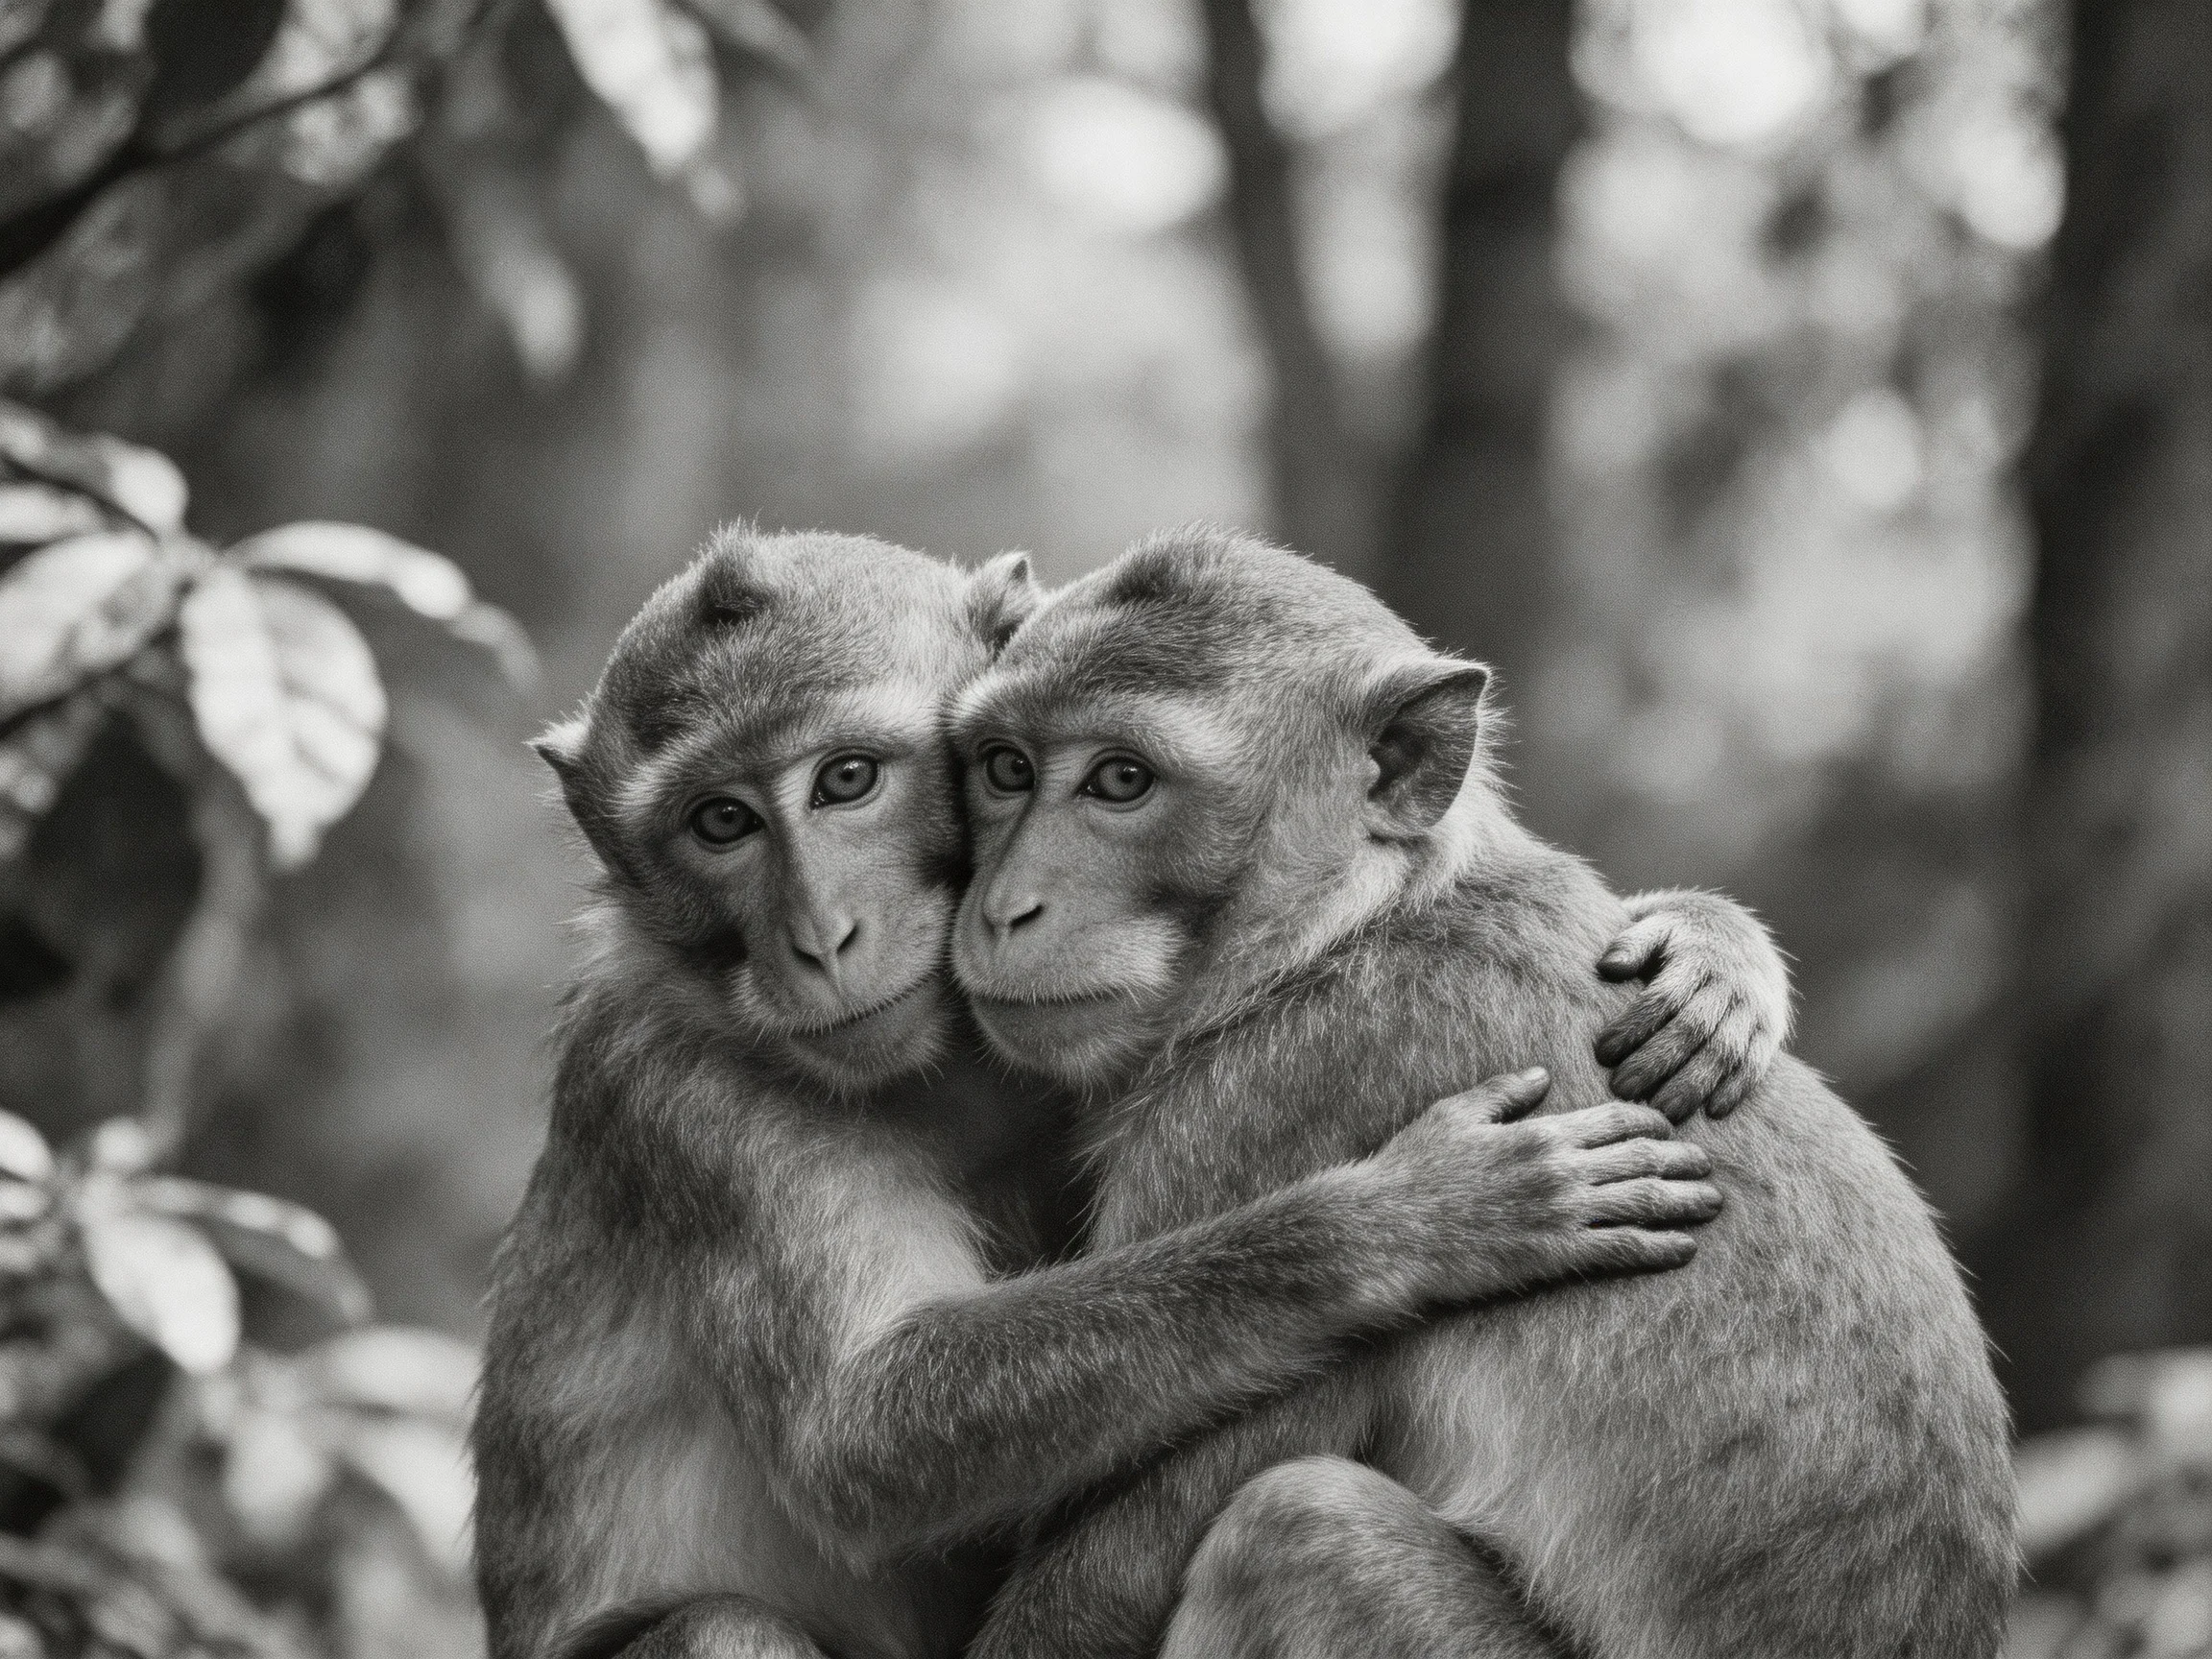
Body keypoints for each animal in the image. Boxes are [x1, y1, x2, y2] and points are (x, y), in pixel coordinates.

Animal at [470, 527, 1800, 1659]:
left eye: (847, 780)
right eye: (721, 824)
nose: (821, 937)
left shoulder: (1257, 1091)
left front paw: (1709, 959)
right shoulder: (682, 1095)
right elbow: (858, 1436)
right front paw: (1405, 1225)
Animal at [947, 525, 2016, 1659]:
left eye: (1120, 780)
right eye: (1007, 768)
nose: (1007, 907)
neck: (1347, 928)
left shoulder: (1271, 1101)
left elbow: (1122, 1555)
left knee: (1300, 1530)